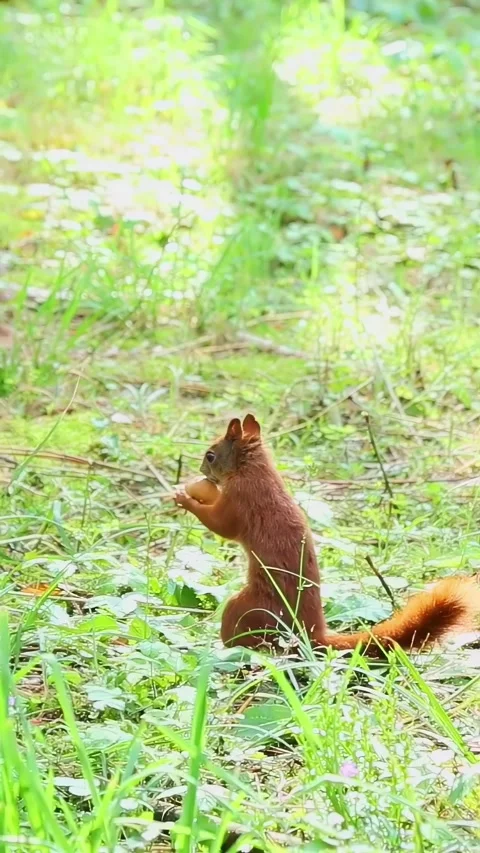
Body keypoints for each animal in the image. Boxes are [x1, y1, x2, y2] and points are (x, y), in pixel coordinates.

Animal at [175, 414, 480, 654]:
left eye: (210, 455)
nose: (202, 470)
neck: (253, 469)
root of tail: (311, 633)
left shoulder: (241, 499)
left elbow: (222, 526)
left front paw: (184, 498)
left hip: (248, 608)